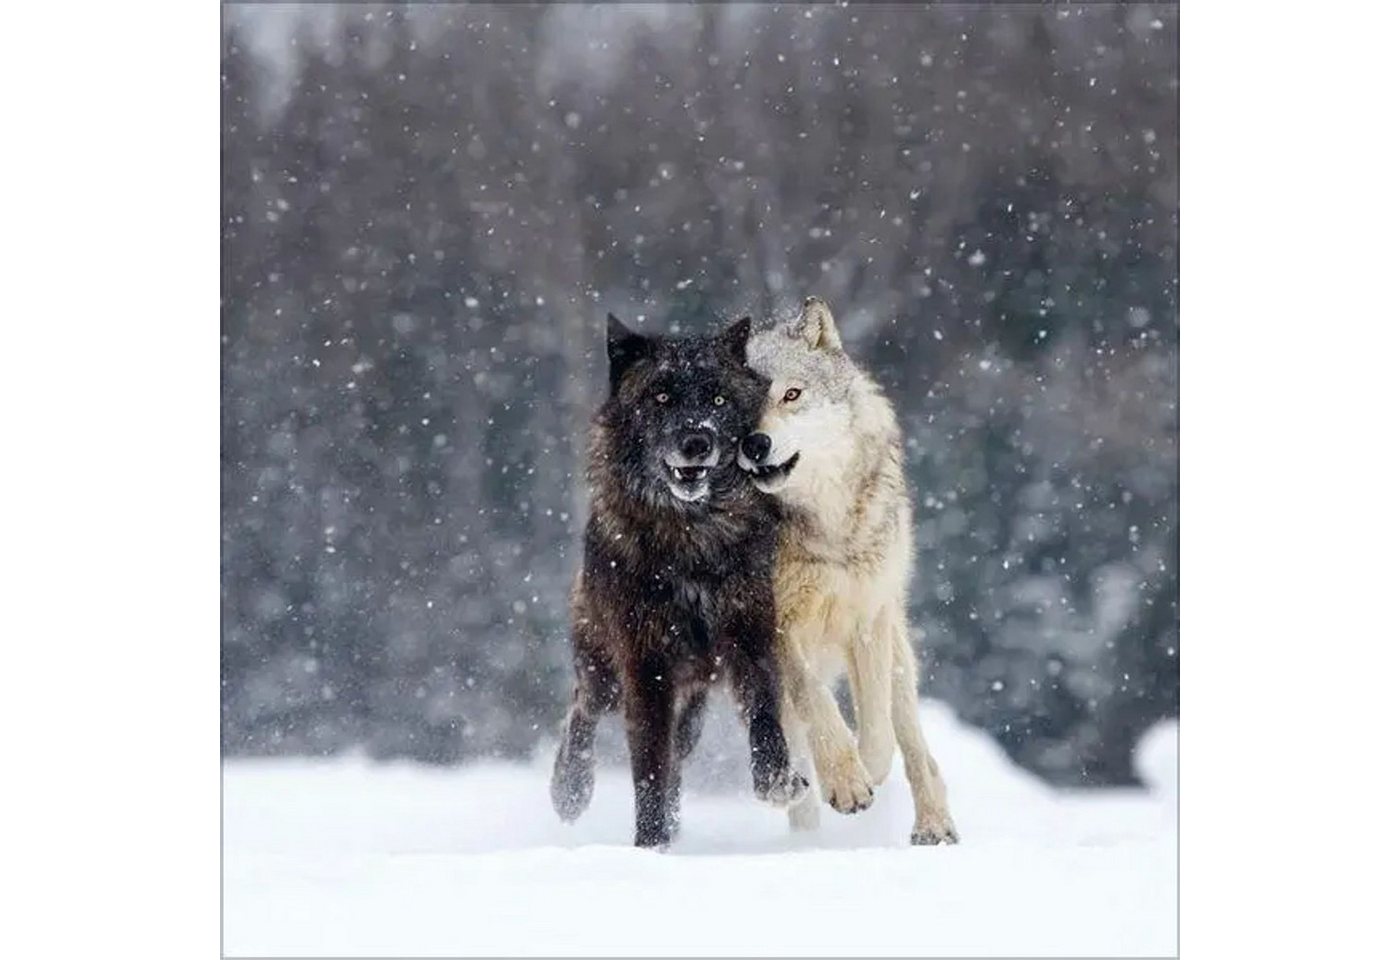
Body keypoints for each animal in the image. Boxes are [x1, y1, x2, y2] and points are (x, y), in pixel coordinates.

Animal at [550, 313, 809, 848]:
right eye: (662, 396)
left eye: (717, 400)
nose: (697, 442)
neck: (691, 534)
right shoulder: (645, 666)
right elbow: (649, 765)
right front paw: (650, 846)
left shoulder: (750, 637)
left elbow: (764, 714)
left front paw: (776, 780)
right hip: (606, 676)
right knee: (582, 709)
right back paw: (569, 790)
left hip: (691, 704)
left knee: (678, 757)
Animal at [738, 297, 959, 845]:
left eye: (791, 393)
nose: (755, 444)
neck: (827, 530)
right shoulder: (776, 627)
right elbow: (817, 702)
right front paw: (844, 781)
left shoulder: (869, 615)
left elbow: (877, 729)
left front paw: (865, 772)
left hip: (899, 644)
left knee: (914, 741)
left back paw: (934, 825)